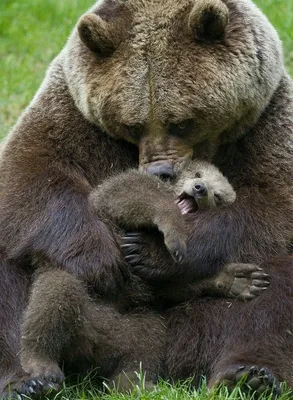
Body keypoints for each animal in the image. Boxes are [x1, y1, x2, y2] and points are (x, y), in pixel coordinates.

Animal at [0, 0, 290, 396]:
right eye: (132, 124)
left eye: (182, 121)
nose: (161, 171)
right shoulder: (71, 115)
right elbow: (29, 174)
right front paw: (102, 258)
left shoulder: (266, 124)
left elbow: (269, 207)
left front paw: (155, 252)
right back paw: (28, 379)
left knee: (270, 293)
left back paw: (249, 374)